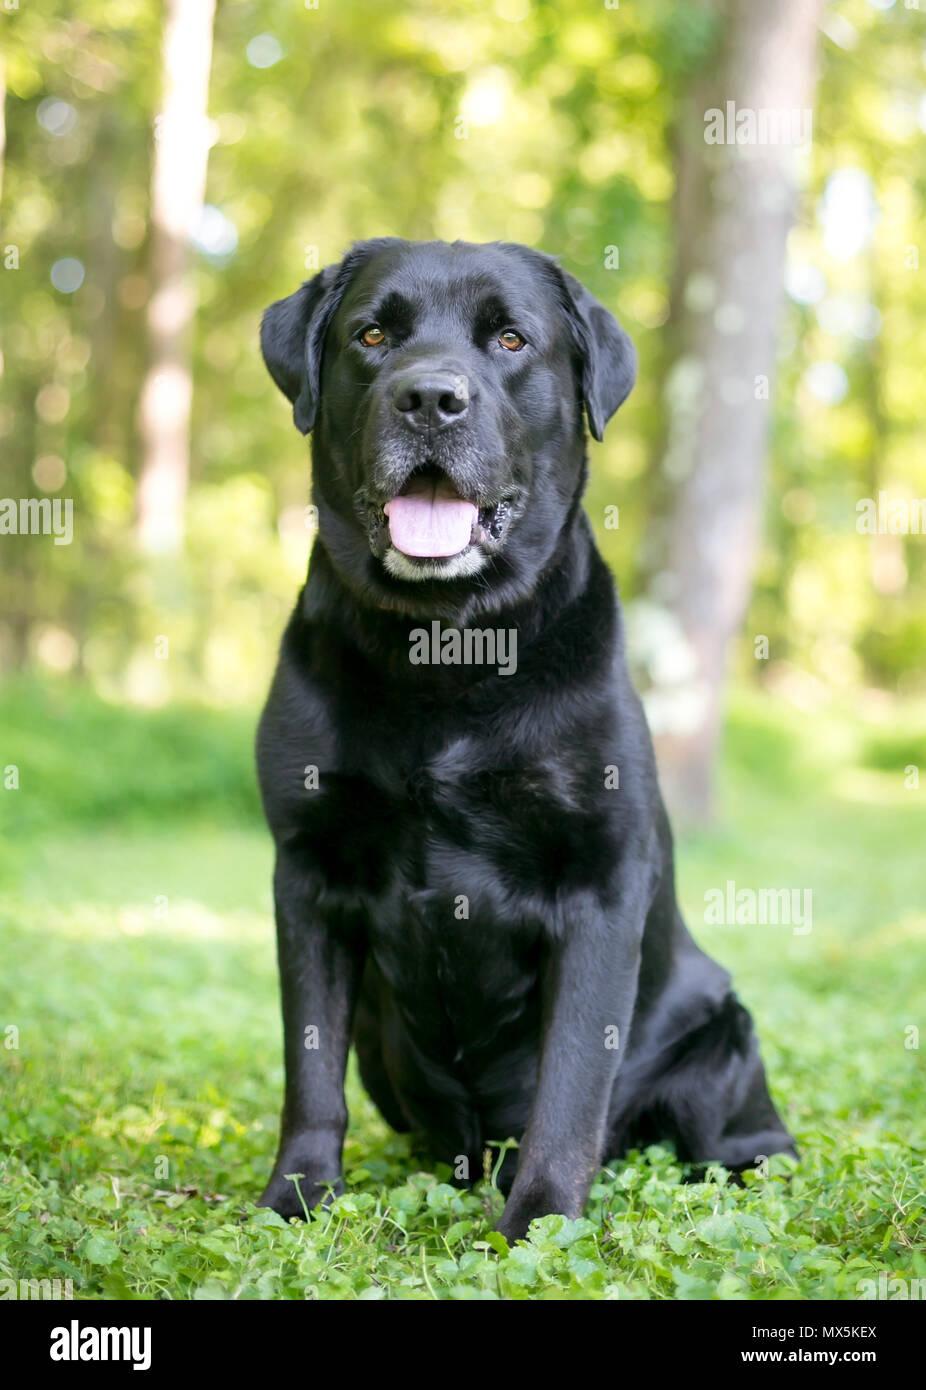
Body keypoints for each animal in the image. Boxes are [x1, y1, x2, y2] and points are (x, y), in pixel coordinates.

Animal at [254, 236, 795, 1239]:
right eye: (372, 335)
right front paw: (296, 1197)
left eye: (510, 339)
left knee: (744, 1139)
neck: (445, 650)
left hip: (722, 1033)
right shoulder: (307, 871)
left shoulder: (600, 886)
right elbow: (308, 1069)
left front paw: (540, 1221)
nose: (431, 398)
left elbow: (573, 1081)